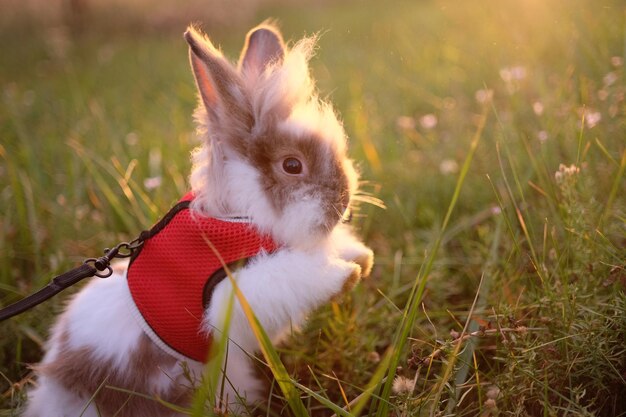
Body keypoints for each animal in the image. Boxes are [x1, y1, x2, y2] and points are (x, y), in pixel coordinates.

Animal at [24, 22, 370, 416]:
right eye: (293, 165)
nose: (344, 202)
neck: (241, 217)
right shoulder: (239, 291)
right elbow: (295, 276)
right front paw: (347, 274)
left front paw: (361, 258)